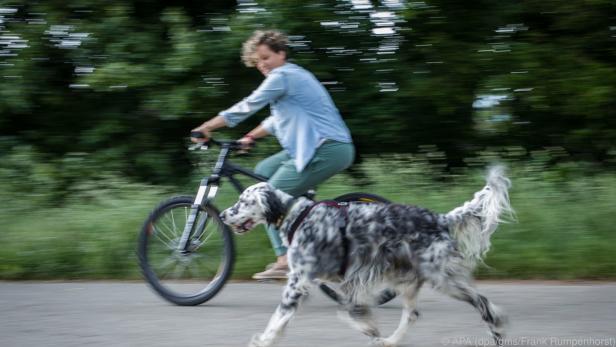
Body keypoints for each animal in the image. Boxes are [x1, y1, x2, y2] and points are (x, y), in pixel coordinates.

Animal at [219, 166, 512, 347]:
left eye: (243, 201)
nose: (221, 215)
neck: (296, 216)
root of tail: (441, 219)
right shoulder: (344, 280)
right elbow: (349, 310)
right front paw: (369, 327)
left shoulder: (299, 282)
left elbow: (278, 318)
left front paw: (264, 340)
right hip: (407, 280)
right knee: (412, 314)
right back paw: (390, 341)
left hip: (442, 278)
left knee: (483, 303)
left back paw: (498, 330)